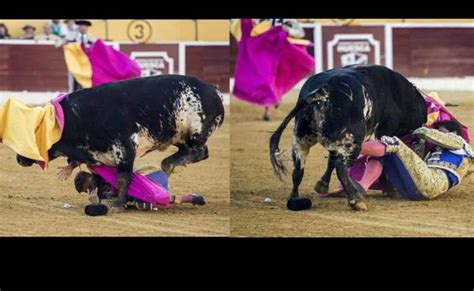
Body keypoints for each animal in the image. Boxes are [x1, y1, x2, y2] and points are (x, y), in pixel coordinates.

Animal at [17, 75, 225, 212]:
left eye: (35, 135)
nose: (19, 159)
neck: (77, 118)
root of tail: (213, 90)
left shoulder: (125, 148)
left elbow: (123, 177)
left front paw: (118, 204)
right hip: (178, 137)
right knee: (193, 153)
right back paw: (168, 168)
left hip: (195, 132)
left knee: (199, 152)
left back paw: (167, 168)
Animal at [268, 65, 428, 212]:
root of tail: (322, 91)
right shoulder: (382, 133)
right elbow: (380, 160)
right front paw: (389, 190)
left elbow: (330, 161)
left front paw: (322, 185)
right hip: (353, 143)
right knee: (341, 167)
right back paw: (355, 200)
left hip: (301, 141)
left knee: (298, 171)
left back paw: (295, 199)